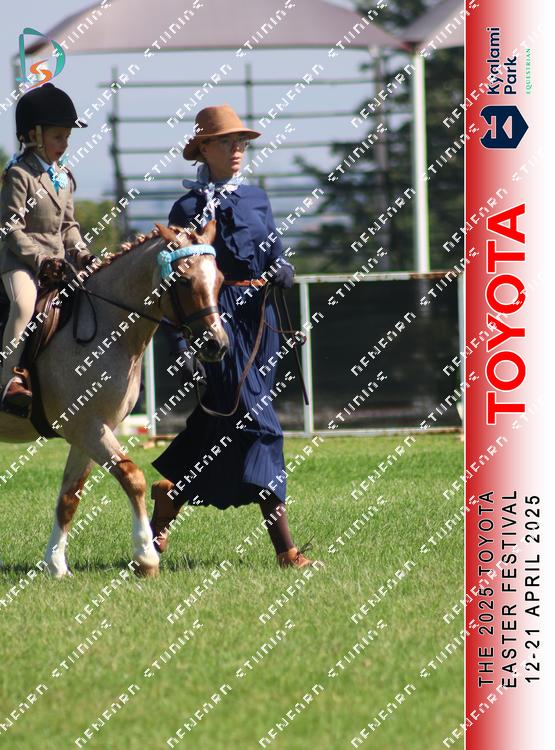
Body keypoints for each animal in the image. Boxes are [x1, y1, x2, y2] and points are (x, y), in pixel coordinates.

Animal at [0, 220, 228, 577]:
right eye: (183, 280)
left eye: (218, 279)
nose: (216, 345)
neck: (108, 328)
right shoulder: (88, 428)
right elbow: (132, 477)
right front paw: (146, 557)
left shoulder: (88, 431)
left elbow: (70, 497)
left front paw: (56, 564)